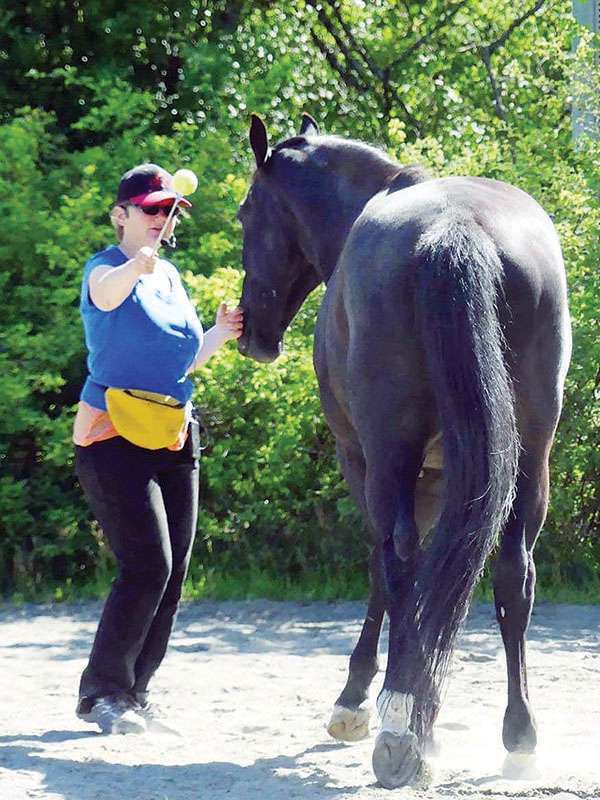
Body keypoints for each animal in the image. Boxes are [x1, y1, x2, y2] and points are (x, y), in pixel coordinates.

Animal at [236, 113, 571, 789]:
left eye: (244, 213)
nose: (249, 330)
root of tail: (456, 231)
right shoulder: (446, 477)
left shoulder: (365, 460)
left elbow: (383, 569)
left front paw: (356, 701)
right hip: (531, 455)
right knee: (512, 572)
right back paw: (517, 734)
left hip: (389, 453)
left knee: (398, 559)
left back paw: (400, 729)